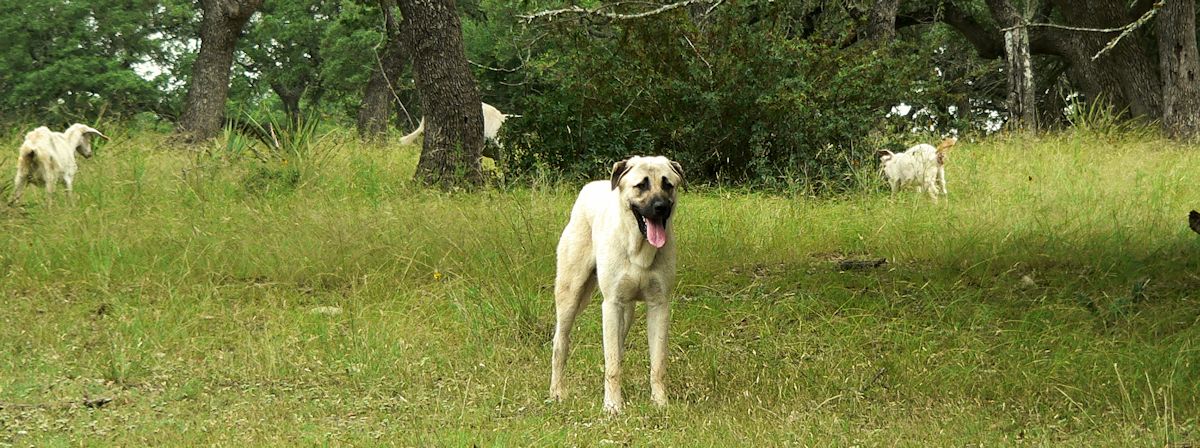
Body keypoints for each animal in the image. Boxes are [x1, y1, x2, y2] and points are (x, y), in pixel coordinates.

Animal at [552, 154, 686, 410]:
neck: (639, 250)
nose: (661, 207)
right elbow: (612, 364)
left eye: (667, 184)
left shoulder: (659, 305)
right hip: (571, 296)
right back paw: (556, 392)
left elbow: (658, 363)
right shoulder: (612, 304)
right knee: (560, 343)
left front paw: (660, 402)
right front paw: (613, 406)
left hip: (627, 312)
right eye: (641, 185)